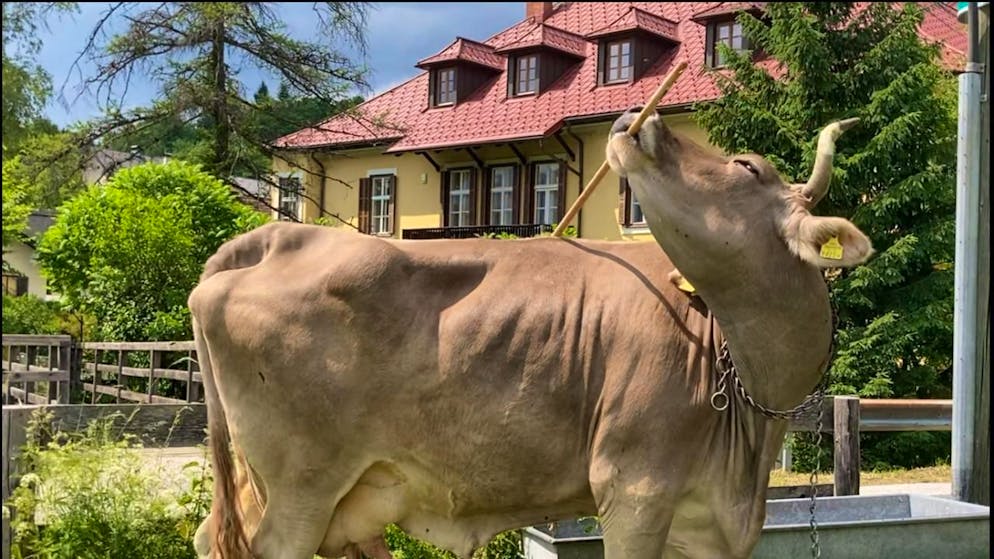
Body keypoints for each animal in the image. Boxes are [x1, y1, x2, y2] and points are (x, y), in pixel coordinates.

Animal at [189, 108, 872, 559]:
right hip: (300, 486)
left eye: (745, 165)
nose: (640, 118)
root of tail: (276, 236)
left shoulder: (712, 526)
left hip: (315, 493)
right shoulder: (634, 490)